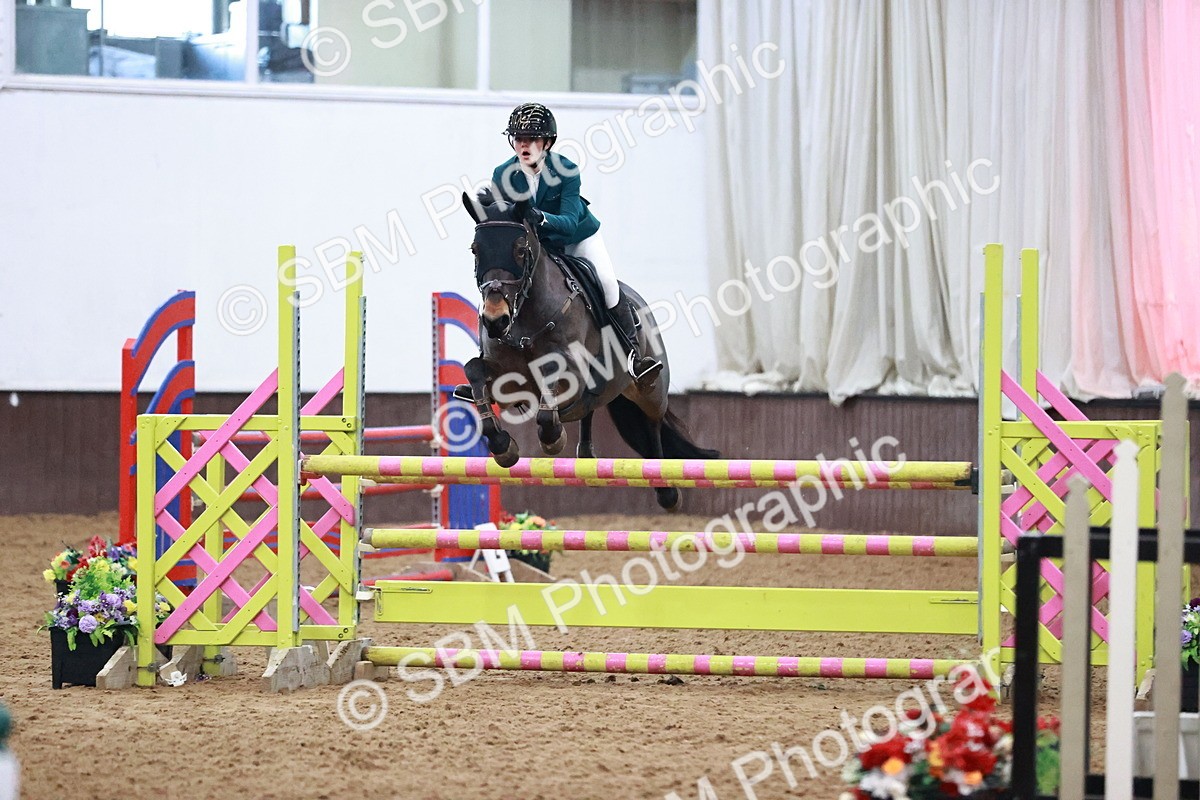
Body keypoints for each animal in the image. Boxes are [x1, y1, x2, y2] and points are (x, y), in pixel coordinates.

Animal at [458, 192, 718, 511]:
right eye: (476, 250)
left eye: (520, 250)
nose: (495, 321)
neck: (526, 316)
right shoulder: (507, 380)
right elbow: (473, 370)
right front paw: (503, 446)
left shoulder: (571, 370)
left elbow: (550, 378)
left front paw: (553, 439)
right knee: (592, 409)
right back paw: (586, 455)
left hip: (650, 390)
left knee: (653, 423)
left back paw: (665, 488)